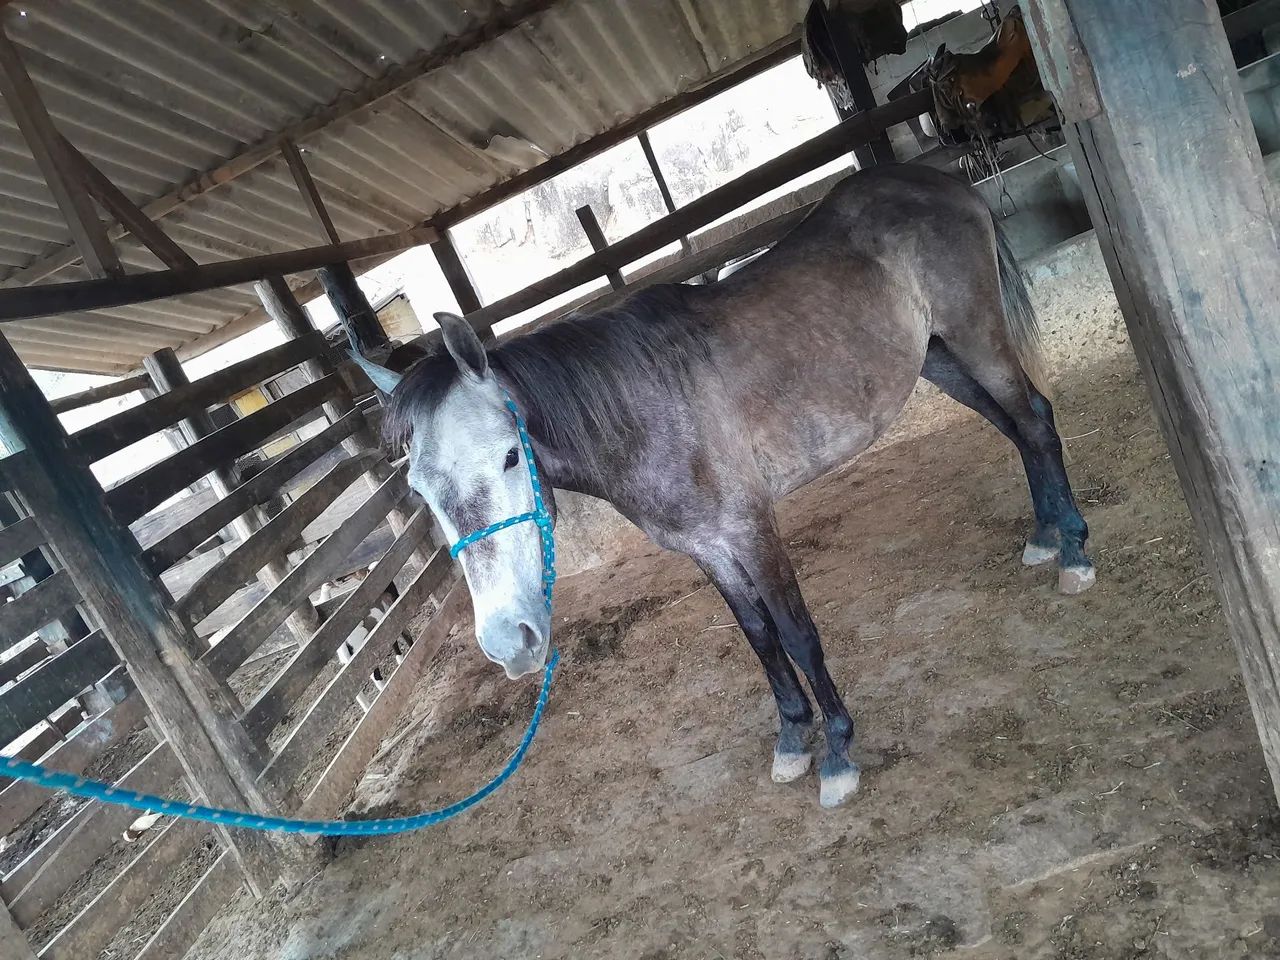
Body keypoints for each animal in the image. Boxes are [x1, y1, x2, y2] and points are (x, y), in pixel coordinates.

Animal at [353, 163, 1094, 808]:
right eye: (420, 491)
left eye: (511, 457)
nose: (510, 642)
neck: (645, 409)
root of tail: (938, 177)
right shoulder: (708, 547)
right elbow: (759, 637)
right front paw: (793, 739)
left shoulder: (751, 526)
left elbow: (796, 632)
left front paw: (838, 753)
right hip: (938, 357)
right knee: (1013, 428)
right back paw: (1043, 537)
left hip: (976, 337)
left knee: (1034, 422)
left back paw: (1076, 554)